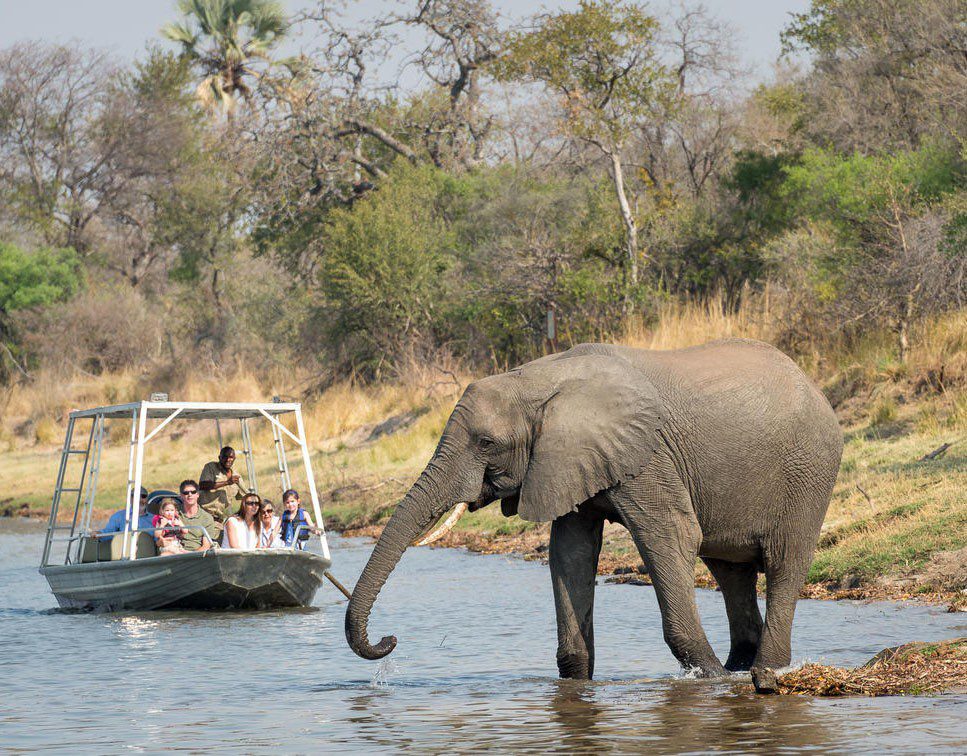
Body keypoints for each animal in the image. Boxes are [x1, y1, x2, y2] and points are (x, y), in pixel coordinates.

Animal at [345, 339, 843, 679]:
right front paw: (576, 681)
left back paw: (763, 670)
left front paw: (709, 679)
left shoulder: (647, 457)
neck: (540, 379)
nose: (390, 639)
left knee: (783, 562)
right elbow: (570, 553)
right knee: (728, 570)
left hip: (810, 472)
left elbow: (671, 538)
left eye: (486, 443)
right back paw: (740, 665)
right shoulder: (565, 460)